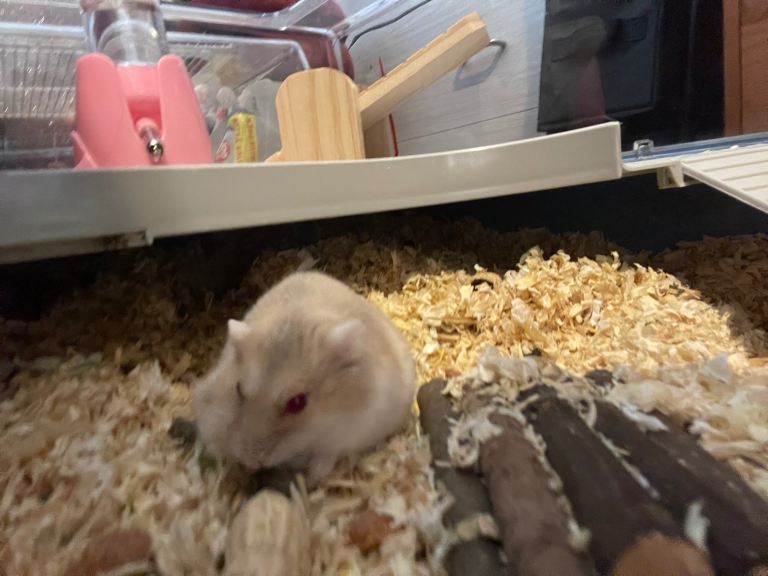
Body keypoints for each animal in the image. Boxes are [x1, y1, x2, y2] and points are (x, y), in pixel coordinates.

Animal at [194, 271, 416, 486]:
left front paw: (311, 478)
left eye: (298, 403)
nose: (252, 461)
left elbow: (327, 455)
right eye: (238, 390)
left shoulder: (354, 430)